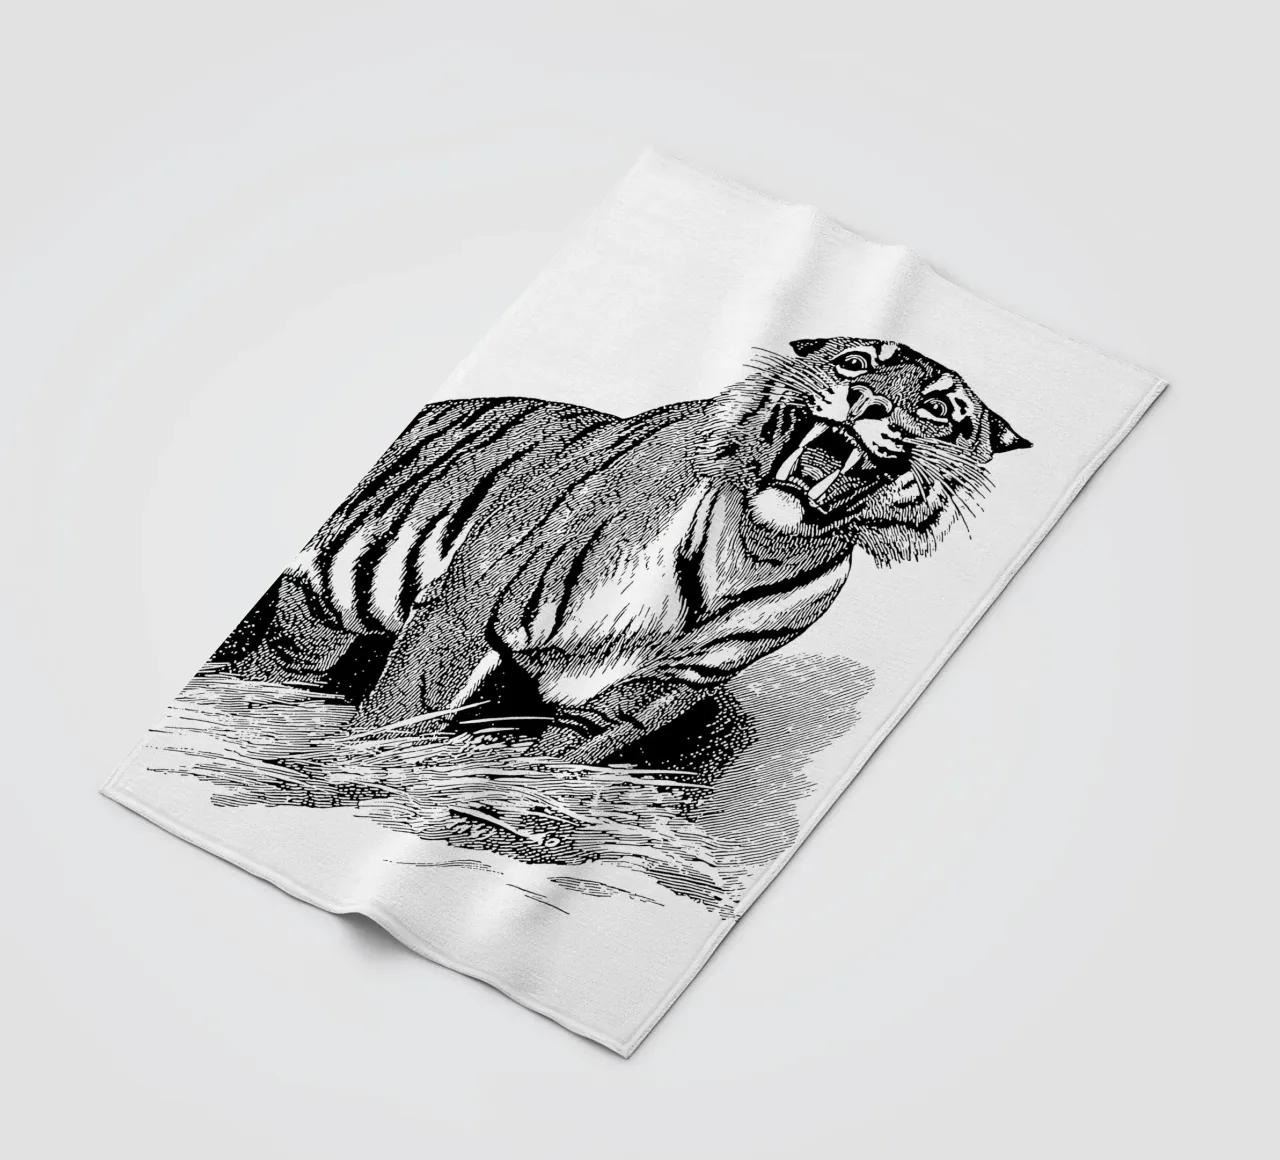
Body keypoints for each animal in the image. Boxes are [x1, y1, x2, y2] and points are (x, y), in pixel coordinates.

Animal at [217, 337, 1030, 765]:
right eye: (859, 362)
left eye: (939, 409)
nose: (868, 405)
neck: (759, 542)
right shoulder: (468, 609)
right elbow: (398, 716)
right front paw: (356, 780)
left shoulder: (663, 687)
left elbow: (563, 757)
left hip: (312, 622)